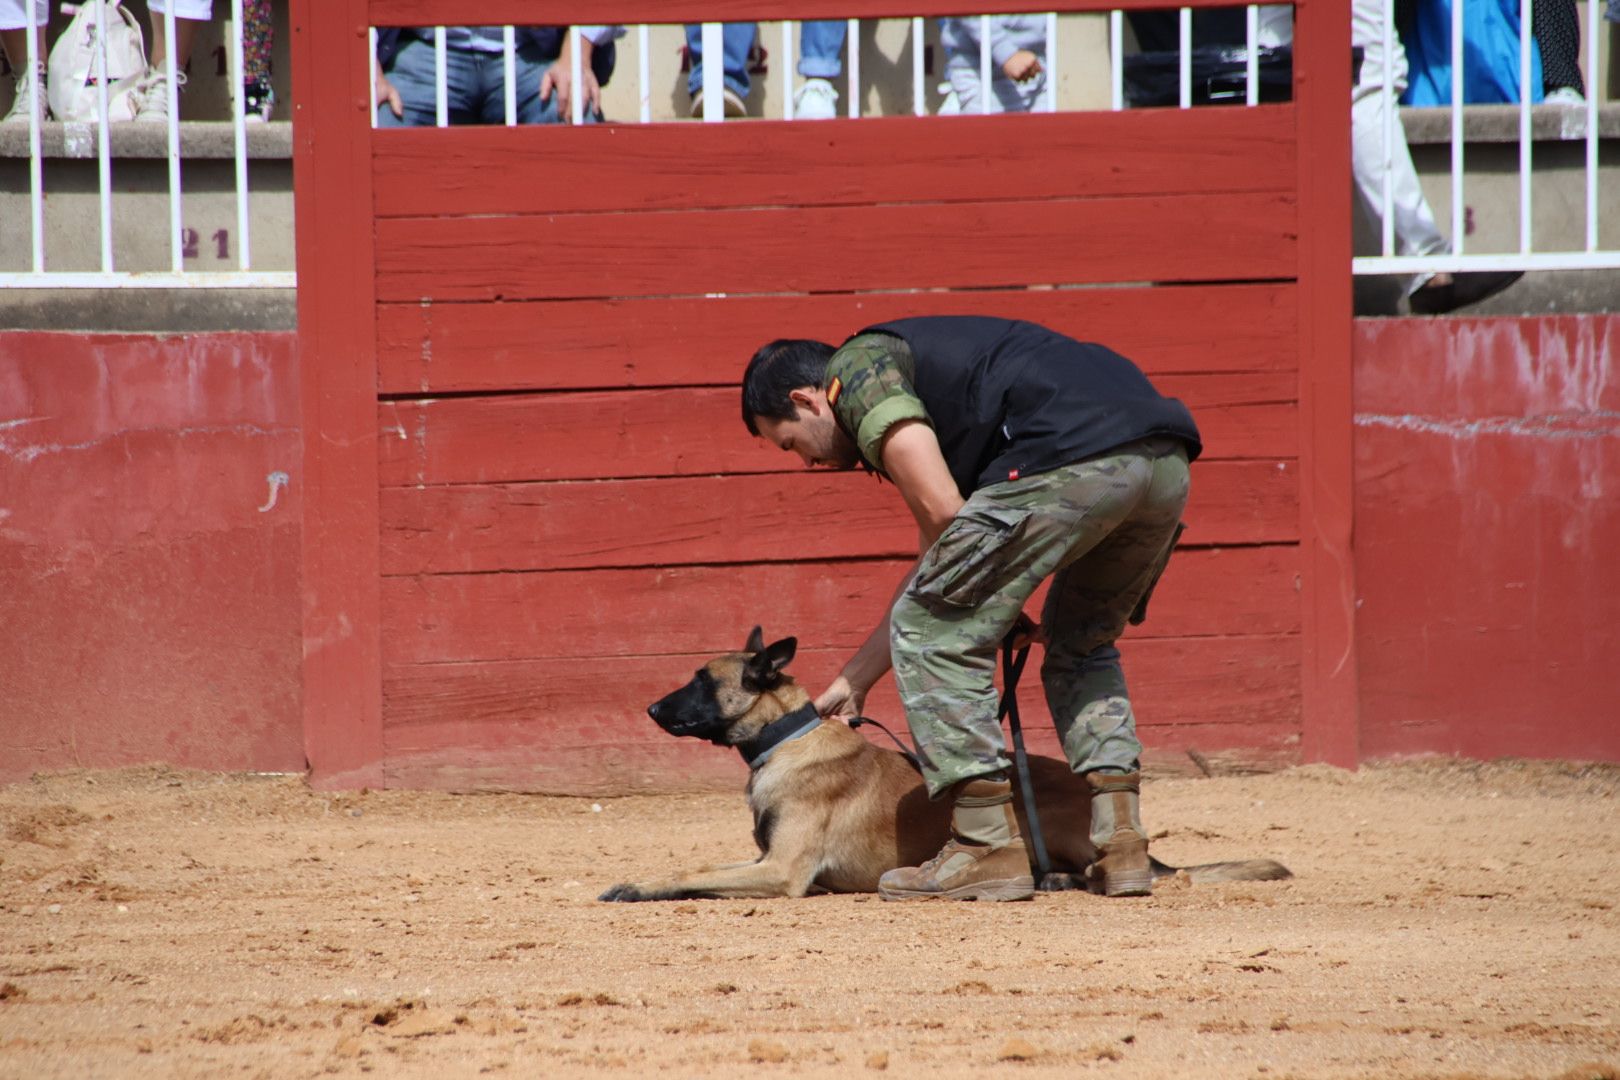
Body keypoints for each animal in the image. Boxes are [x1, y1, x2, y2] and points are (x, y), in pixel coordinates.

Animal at [596, 628, 1289, 900]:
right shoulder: (770, 863)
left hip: (1044, 813)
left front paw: (638, 885)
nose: (651, 707)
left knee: (1098, 867)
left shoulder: (783, 872)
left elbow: (693, 871)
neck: (787, 736)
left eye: (700, 681)